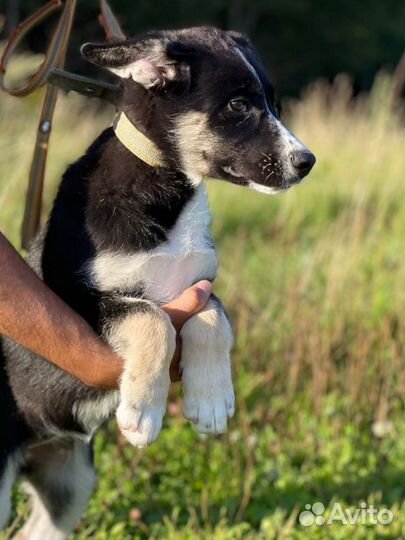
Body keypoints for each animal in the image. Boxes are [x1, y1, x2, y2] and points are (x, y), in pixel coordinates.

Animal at [0, 26, 314, 540]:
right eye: (238, 106)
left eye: (273, 102)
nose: (307, 161)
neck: (168, 187)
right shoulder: (77, 298)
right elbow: (153, 320)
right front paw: (144, 411)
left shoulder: (200, 285)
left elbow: (214, 318)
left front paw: (212, 400)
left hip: (71, 480)